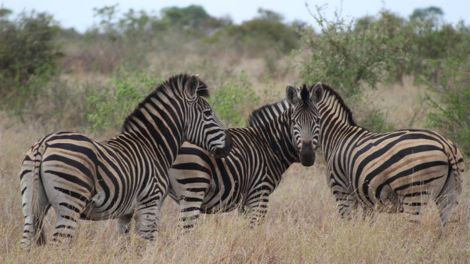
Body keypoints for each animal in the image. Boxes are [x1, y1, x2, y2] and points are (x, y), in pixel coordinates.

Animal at [19, 73, 232, 248]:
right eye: (208, 114)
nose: (229, 146)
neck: (153, 146)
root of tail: (43, 144)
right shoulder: (150, 204)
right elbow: (148, 244)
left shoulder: (125, 214)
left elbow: (125, 246)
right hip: (70, 203)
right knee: (58, 244)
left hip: (31, 206)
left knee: (26, 241)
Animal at [162, 86, 320, 229]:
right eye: (294, 121)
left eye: (318, 120)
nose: (307, 156)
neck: (268, 143)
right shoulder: (259, 194)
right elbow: (254, 230)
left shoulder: (245, 200)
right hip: (193, 189)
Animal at [300, 83, 464, 227]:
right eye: (297, 119)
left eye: (316, 120)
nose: (306, 157)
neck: (338, 137)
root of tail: (445, 145)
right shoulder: (364, 199)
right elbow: (366, 224)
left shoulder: (342, 191)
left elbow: (347, 224)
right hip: (448, 194)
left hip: (413, 193)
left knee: (414, 227)